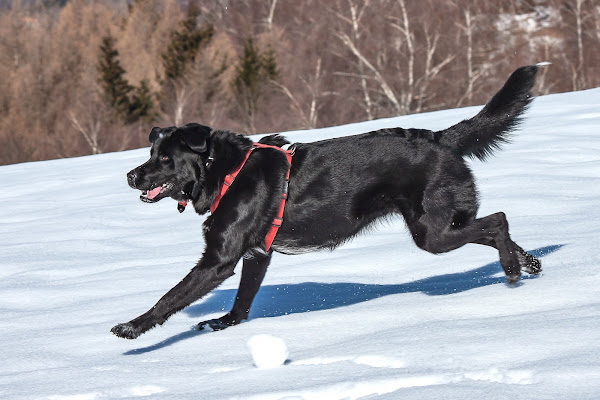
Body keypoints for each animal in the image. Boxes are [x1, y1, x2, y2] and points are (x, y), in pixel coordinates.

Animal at [111, 65, 544, 338]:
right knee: (493, 225)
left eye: (165, 159)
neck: (226, 171)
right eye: (151, 153)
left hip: (432, 232)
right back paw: (528, 263)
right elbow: (242, 301)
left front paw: (132, 328)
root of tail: (441, 138)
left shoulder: (218, 260)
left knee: (499, 219)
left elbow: (169, 298)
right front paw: (224, 324)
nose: (130, 175)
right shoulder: (257, 255)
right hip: (440, 226)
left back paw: (511, 269)